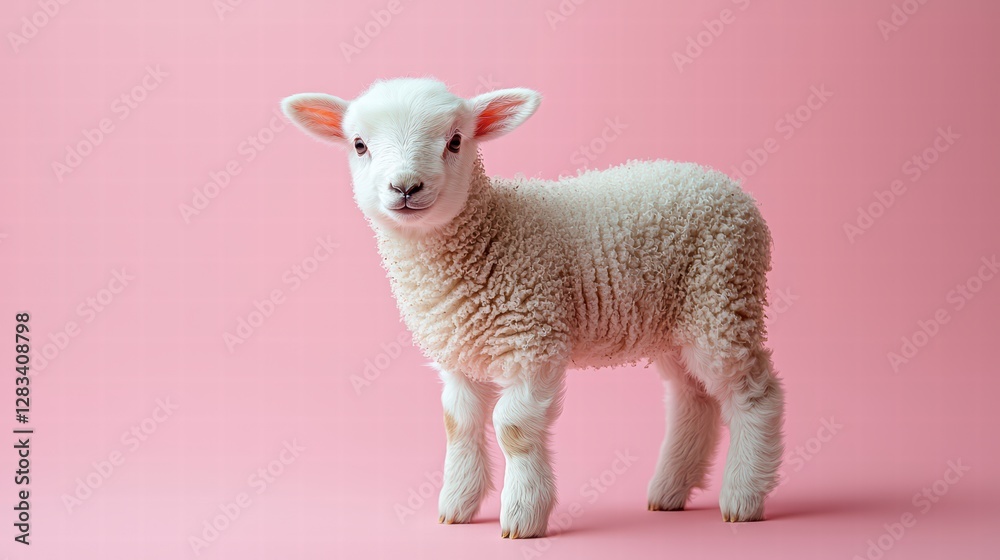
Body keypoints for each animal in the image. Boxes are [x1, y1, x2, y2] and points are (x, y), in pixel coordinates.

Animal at [281, 78, 785, 539]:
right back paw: (669, 490)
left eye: (456, 141)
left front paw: (522, 516)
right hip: (676, 323)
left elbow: (514, 429)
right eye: (359, 144)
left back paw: (743, 496)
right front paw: (457, 505)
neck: (487, 235)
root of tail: (728, 187)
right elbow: (457, 424)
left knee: (755, 395)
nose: (406, 187)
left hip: (721, 299)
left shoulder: (532, 340)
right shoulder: (458, 353)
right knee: (692, 399)